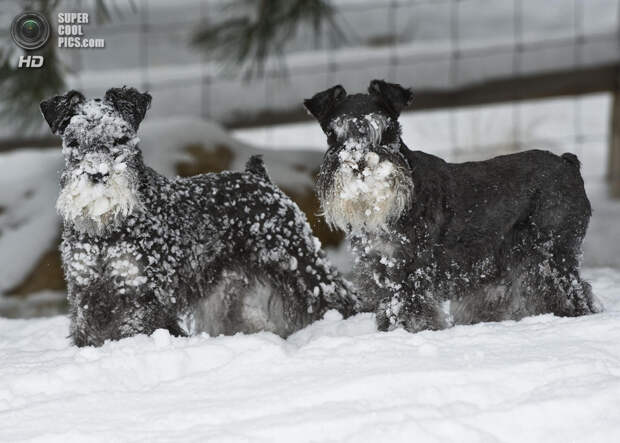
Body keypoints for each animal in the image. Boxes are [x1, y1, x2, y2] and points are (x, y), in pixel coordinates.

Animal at [41, 86, 356, 346]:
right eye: (73, 142)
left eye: (120, 138)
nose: (97, 173)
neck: (106, 230)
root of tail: (258, 177)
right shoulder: (86, 294)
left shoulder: (143, 294)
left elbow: (137, 330)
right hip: (225, 293)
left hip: (296, 262)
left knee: (336, 294)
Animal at [306, 80, 600, 332]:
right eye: (333, 133)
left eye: (386, 130)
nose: (359, 163)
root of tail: (568, 163)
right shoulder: (380, 271)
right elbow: (388, 309)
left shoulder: (411, 273)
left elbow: (411, 312)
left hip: (551, 257)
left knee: (571, 294)